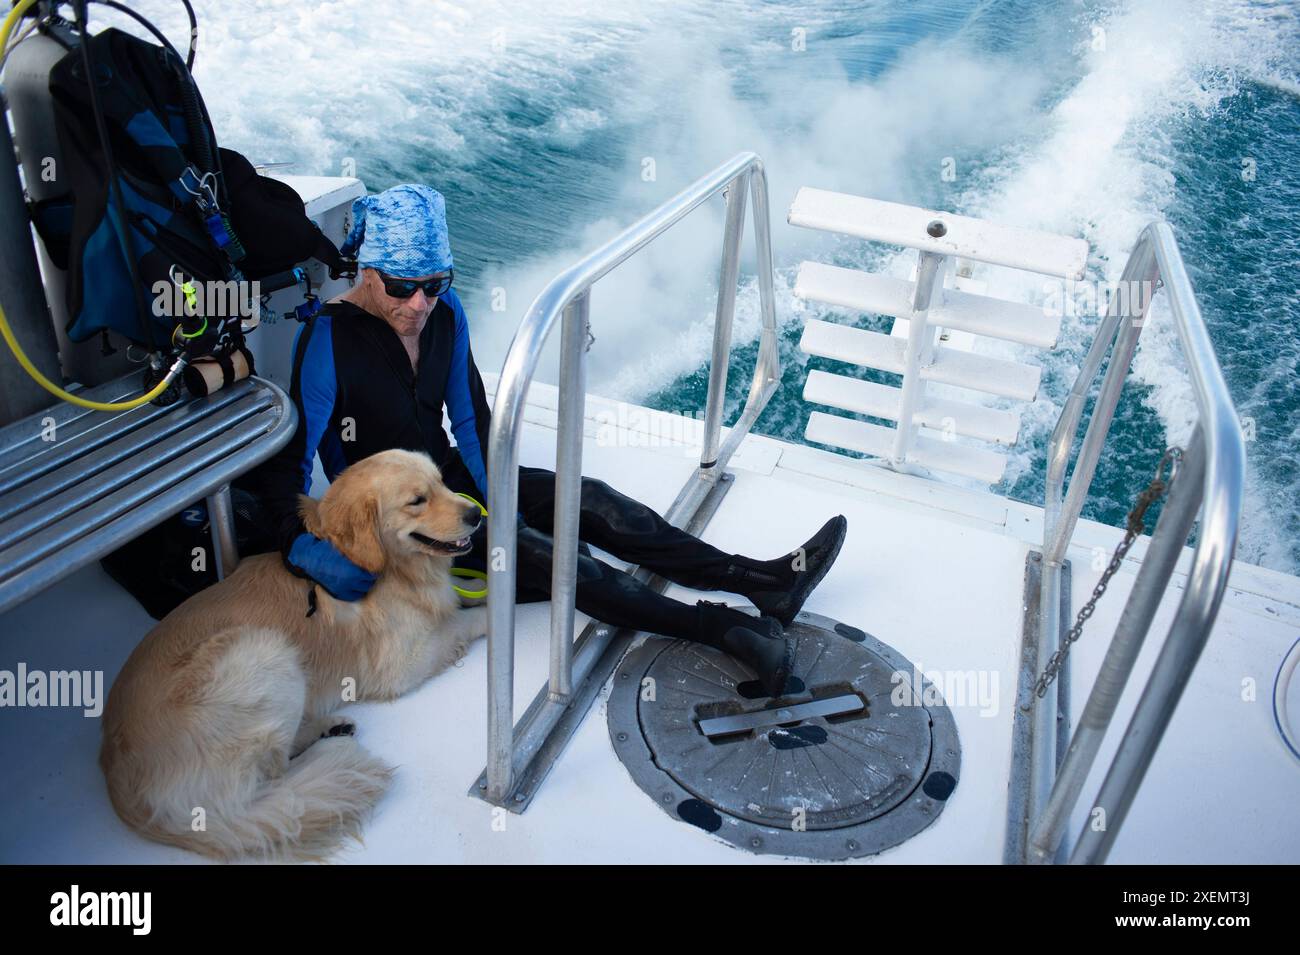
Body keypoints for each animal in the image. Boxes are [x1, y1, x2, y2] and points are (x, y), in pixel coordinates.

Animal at [100, 452, 488, 862]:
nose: (475, 514)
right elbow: (463, 621)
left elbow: (457, 596)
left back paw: (330, 728)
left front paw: (475, 584)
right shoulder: (402, 663)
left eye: (441, 481)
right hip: (262, 651)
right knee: (276, 776)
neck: (379, 565)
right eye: (417, 500)